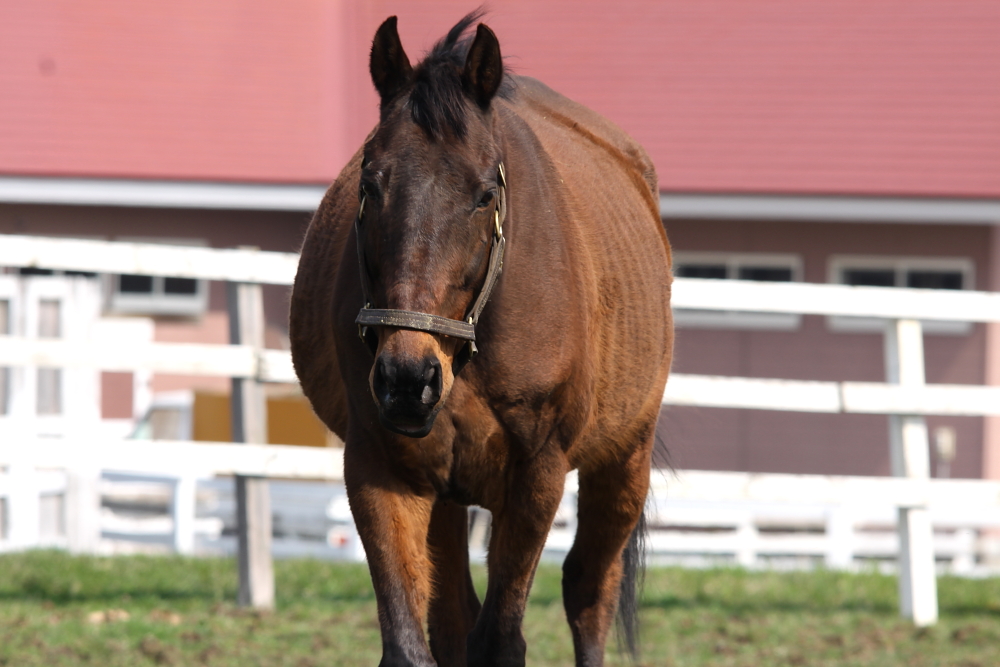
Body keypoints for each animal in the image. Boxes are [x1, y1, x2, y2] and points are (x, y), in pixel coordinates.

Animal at [292, 11, 676, 667]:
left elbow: (501, 638)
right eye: (370, 184)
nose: (408, 380)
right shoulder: (379, 467)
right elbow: (412, 642)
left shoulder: (537, 474)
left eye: (484, 194)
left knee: (589, 594)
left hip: (625, 459)